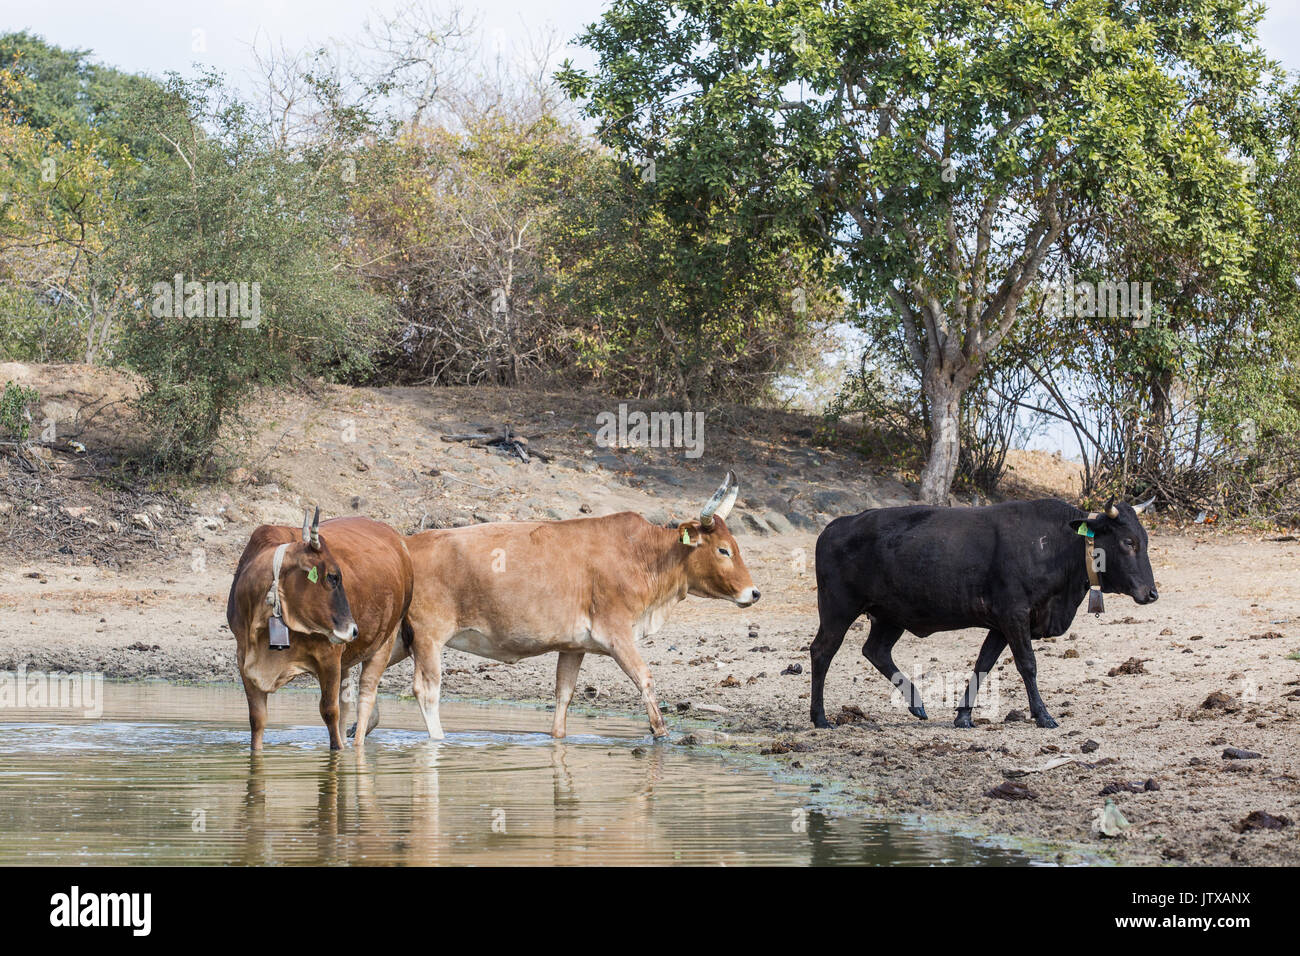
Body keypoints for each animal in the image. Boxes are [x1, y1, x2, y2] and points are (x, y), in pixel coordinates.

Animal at [226, 512, 413, 749]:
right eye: (332, 576)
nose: (353, 630)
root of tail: (399, 540)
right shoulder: (244, 659)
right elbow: (257, 719)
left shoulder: (329, 656)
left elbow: (329, 712)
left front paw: (338, 749)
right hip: (346, 660)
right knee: (346, 703)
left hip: (383, 643)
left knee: (365, 701)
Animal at [377, 470, 759, 738]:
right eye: (723, 550)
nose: (753, 593)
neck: (642, 555)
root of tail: (407, 545)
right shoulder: (616, 634)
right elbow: (645, 679)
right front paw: (660, 731)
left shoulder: (574, 647)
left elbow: (564, 696)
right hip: (429, 639)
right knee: (426, 691)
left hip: (399, 641)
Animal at [811, 496, 1159, 728]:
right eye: (1128, 542)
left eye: (1144, 539)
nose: (1151, 593)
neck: (1054, 545)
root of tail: (837, 524)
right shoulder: (1014, 614)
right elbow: (1027, 665)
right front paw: (1043, 715)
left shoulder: (1002, 623)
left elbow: (983, 664)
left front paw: (964, 715)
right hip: (838, 609)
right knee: (822, 651)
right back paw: (820, 717)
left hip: (889, 615)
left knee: (876, 651)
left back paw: (917, 705)